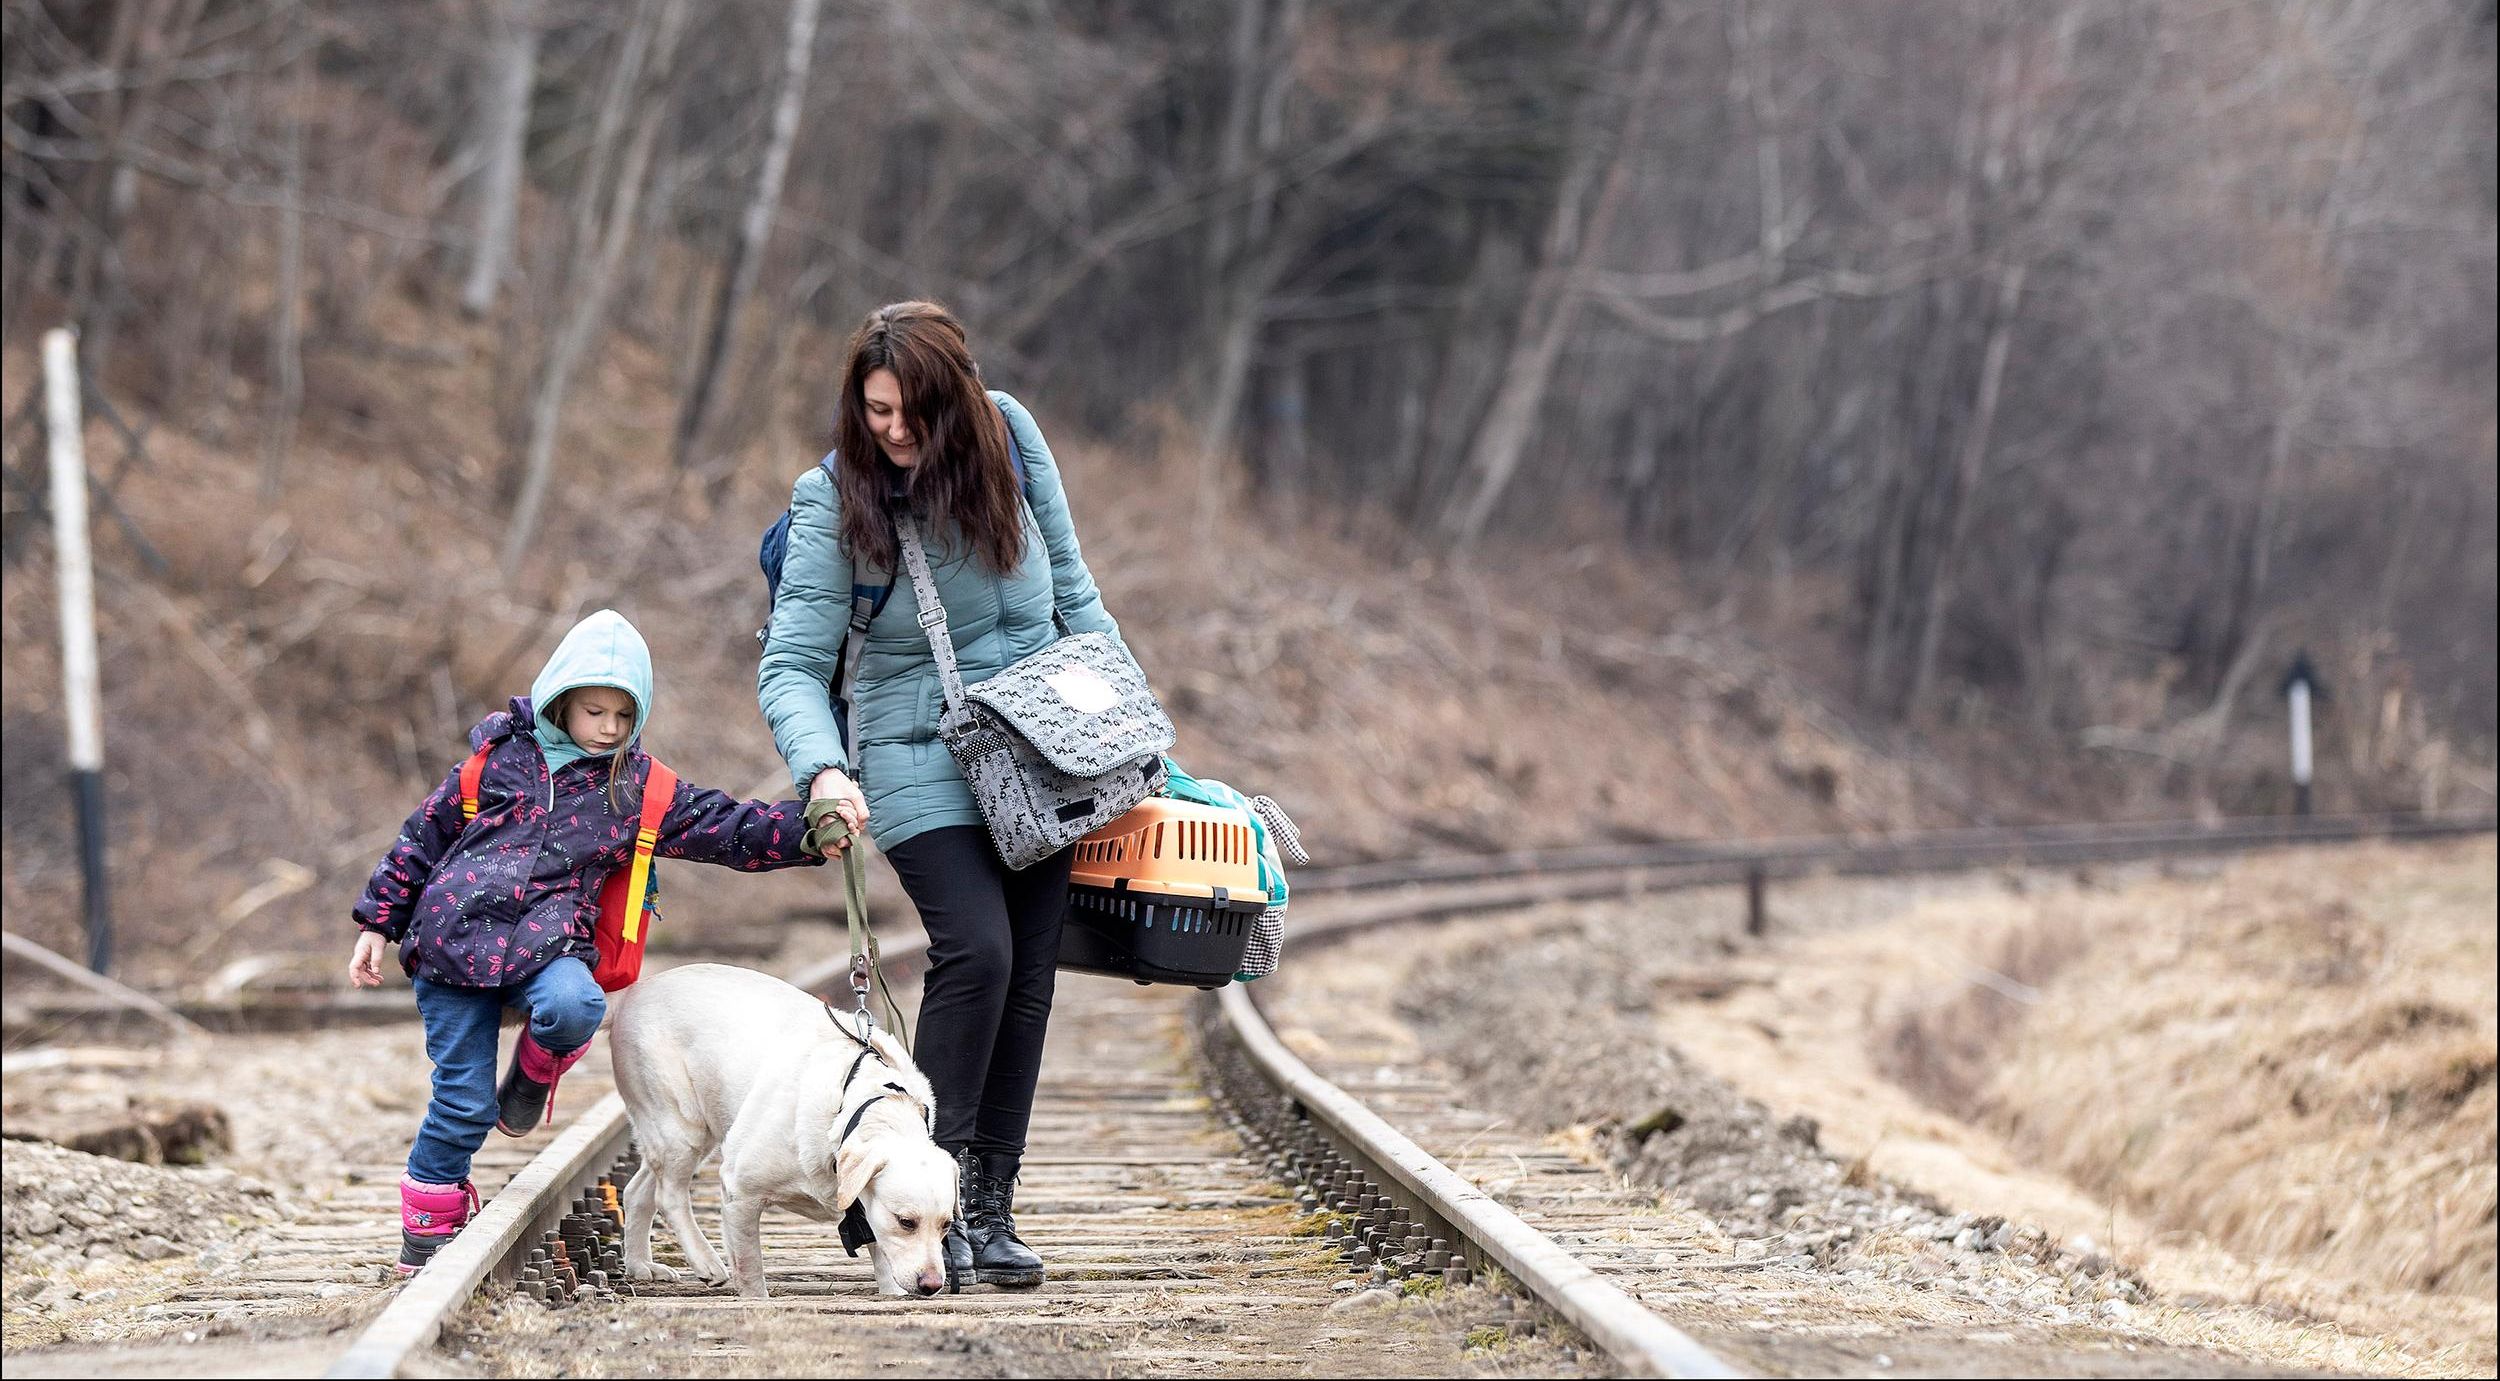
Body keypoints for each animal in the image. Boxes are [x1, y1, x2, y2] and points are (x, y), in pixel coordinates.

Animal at [607, 960, 955, 1290]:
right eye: (906, 1221)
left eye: (947, 1225)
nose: (932, 1285)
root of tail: (632, 993)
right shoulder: (739, 1192)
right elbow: (750, 1272)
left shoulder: (866, 1210)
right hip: (682, 1128)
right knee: (668, 1196)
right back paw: (706, 1262)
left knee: (637, 1190)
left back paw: (641, 1265)